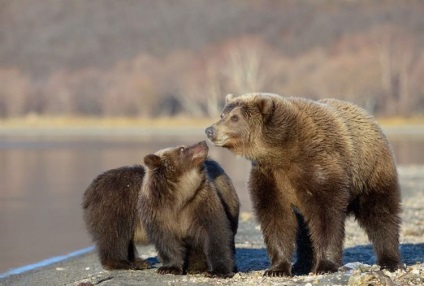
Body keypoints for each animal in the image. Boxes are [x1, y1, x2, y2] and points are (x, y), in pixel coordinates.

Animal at [138, 142, 238, 278]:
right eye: (182, 148)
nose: (203, 143)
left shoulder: (199, 204)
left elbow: (216, 233)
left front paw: (218, 271)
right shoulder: (158, 212)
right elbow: (167, 241)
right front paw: (169, 268)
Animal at [205, 94, 400, 278]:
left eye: (235, 117)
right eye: (223, 114)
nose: (210, 130)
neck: (283, 150)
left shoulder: (318, 168)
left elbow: (326, 217)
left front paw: (325, 266)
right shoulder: (271, 177)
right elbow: (276, 217)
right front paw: (277, 268)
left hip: (370, 172)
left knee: (380, 214)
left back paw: (389, 261)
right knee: (305, 230)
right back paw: (302, 264)